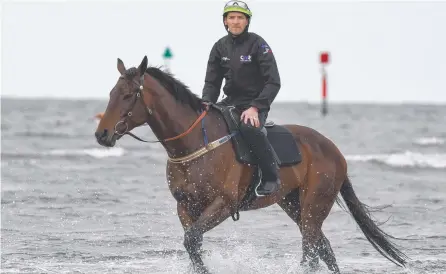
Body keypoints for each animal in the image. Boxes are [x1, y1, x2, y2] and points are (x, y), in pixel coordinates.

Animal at [96, 56, 410, 274]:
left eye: (128, 95)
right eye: (111, 93)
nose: (102, 134)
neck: (195, 143)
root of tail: (335, 151)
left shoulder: (224, 204)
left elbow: (192, 240)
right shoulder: (185, 207)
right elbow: (192, 245)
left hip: (313, 206)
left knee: (312, 251)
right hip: (293, 204)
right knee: (324, 248)